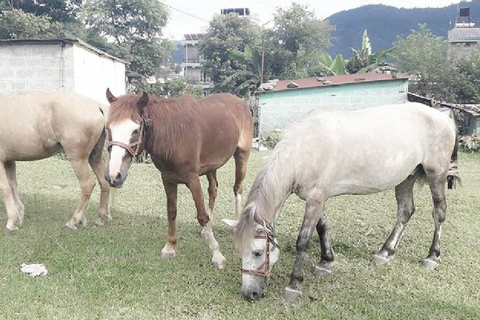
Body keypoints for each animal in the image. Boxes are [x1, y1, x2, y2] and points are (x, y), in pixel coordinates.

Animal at [0, 92, 110, 230]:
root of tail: (97, 106)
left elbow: (5, 188)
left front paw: (12, 221)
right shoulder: (9, 160)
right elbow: (12, 185)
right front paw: (18, 216)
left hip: (78, 159)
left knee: (87, 184)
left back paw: (73, 221)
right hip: (94, 156)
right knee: (103, 182)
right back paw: (99, 218)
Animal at [104, 89, 253, 268]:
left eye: (135, 130)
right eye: (108, 129)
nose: (114, 176)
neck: (173, 137)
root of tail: (240, 101)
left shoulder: (193, 180)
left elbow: (201, 215)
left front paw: (217, 255)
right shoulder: (168, 179)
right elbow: (172, 211)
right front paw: (170, 247)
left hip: (242, 155)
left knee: (237, 188)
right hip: (211, 165)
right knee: (213, 189)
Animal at [223, 104, 460, 302]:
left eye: (257, 252)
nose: (250, 294)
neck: (306, 149)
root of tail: (443, 116)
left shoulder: (316, 199)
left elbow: (303, 240)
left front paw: (294, 284)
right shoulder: (318, 199)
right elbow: (322, 228)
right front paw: (326, 261)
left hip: (436, 174)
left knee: (439, 212)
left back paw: (432, 256)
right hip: (405, 178)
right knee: (405, 211)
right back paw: (385, 252)